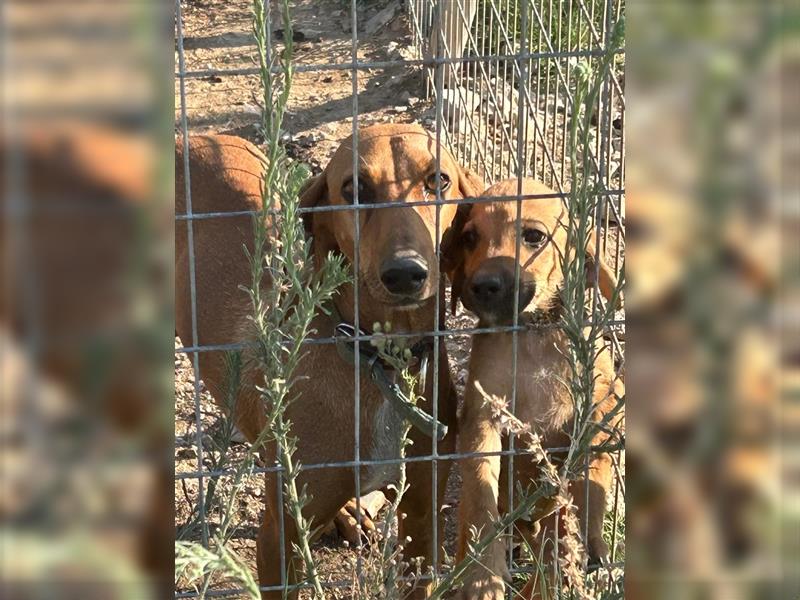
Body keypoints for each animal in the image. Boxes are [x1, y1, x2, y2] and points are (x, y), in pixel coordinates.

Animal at [176, 124, 484, 596]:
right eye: (354, 188)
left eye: (439, 180)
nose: (405, 273)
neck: (378, 367)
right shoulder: (278, 539)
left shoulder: (422, 516)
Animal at [444, 179, 624, 600]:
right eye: (469, 237)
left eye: (533, 237)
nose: (482, 286)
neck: (533, 334)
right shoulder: (481, 418)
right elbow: (480, 492)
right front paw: (482, 576)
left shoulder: (604, 407)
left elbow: (584, 486)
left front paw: (574, 543)